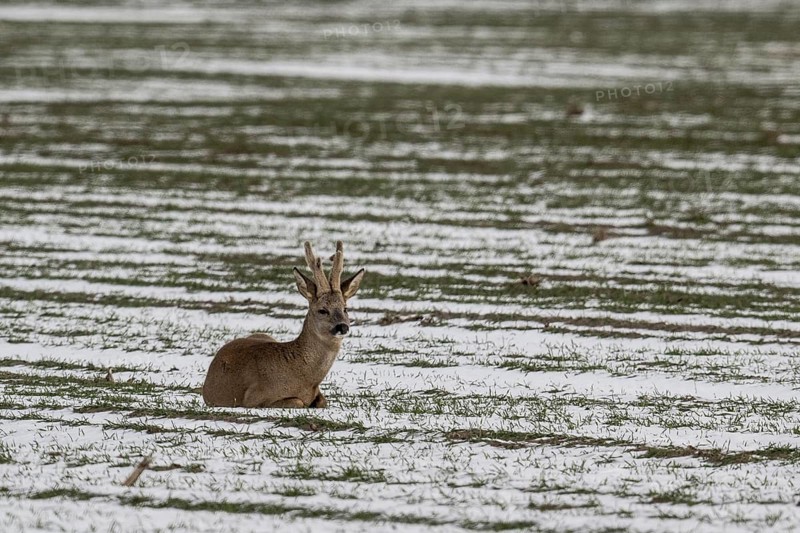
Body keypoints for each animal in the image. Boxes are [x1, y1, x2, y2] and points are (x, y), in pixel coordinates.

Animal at [202, 241, 365, 408]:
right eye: (322, 310)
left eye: (345, 309)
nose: (342, 326)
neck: (304, 378)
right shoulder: (253, 397)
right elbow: (298, 401)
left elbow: (322, 401)